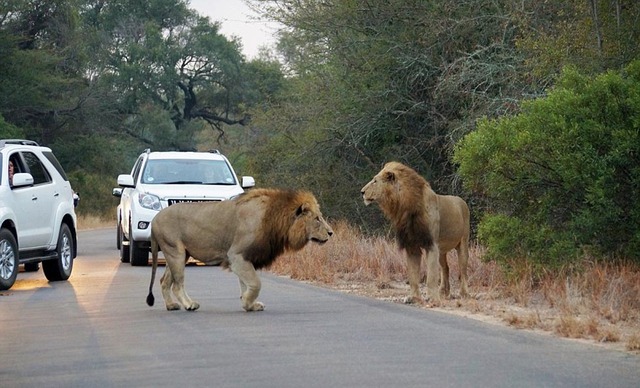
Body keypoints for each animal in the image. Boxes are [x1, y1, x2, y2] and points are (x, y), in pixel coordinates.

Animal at [146, 188, 336, 312]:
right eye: (317, 219)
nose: (331, 233)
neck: (275, 220)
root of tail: (154, 219)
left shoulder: (246, 258)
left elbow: (246, 283)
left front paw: (250, 305)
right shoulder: (236, 256)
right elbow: (256, 283)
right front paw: (246, 302)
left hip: (179, 254)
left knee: (164, 281)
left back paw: (171, 306)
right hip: (175, 252)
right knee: (178, 284)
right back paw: (189, 304)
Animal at [362, 161, 472, 304]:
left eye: (375, 181)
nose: (362, 192)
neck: (405, 207)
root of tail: (461, 200)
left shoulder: (431, 244)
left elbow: (431, 275)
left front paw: (432, 297)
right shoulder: (411, 246)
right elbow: (413, 275)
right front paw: (413, 297)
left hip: (463, 243)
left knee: (463, 270)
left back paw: (464, 293)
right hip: (442, 250)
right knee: (445, 268)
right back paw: (443, 291)